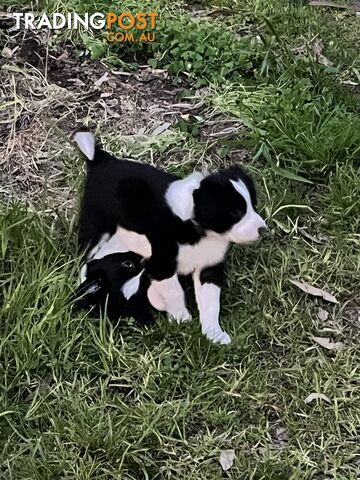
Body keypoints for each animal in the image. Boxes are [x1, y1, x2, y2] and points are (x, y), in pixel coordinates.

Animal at [74, 129, 266, 344]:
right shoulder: (162, 264)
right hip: (95, 226)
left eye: (253, 205)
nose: (263, 229)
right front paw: (182, 320)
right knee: (88, 255)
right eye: (236, 212)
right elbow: (174, 292)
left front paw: (214, 334)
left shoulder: (209, 266)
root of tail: (100, 159)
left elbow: (211, 302)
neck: (196, 231)